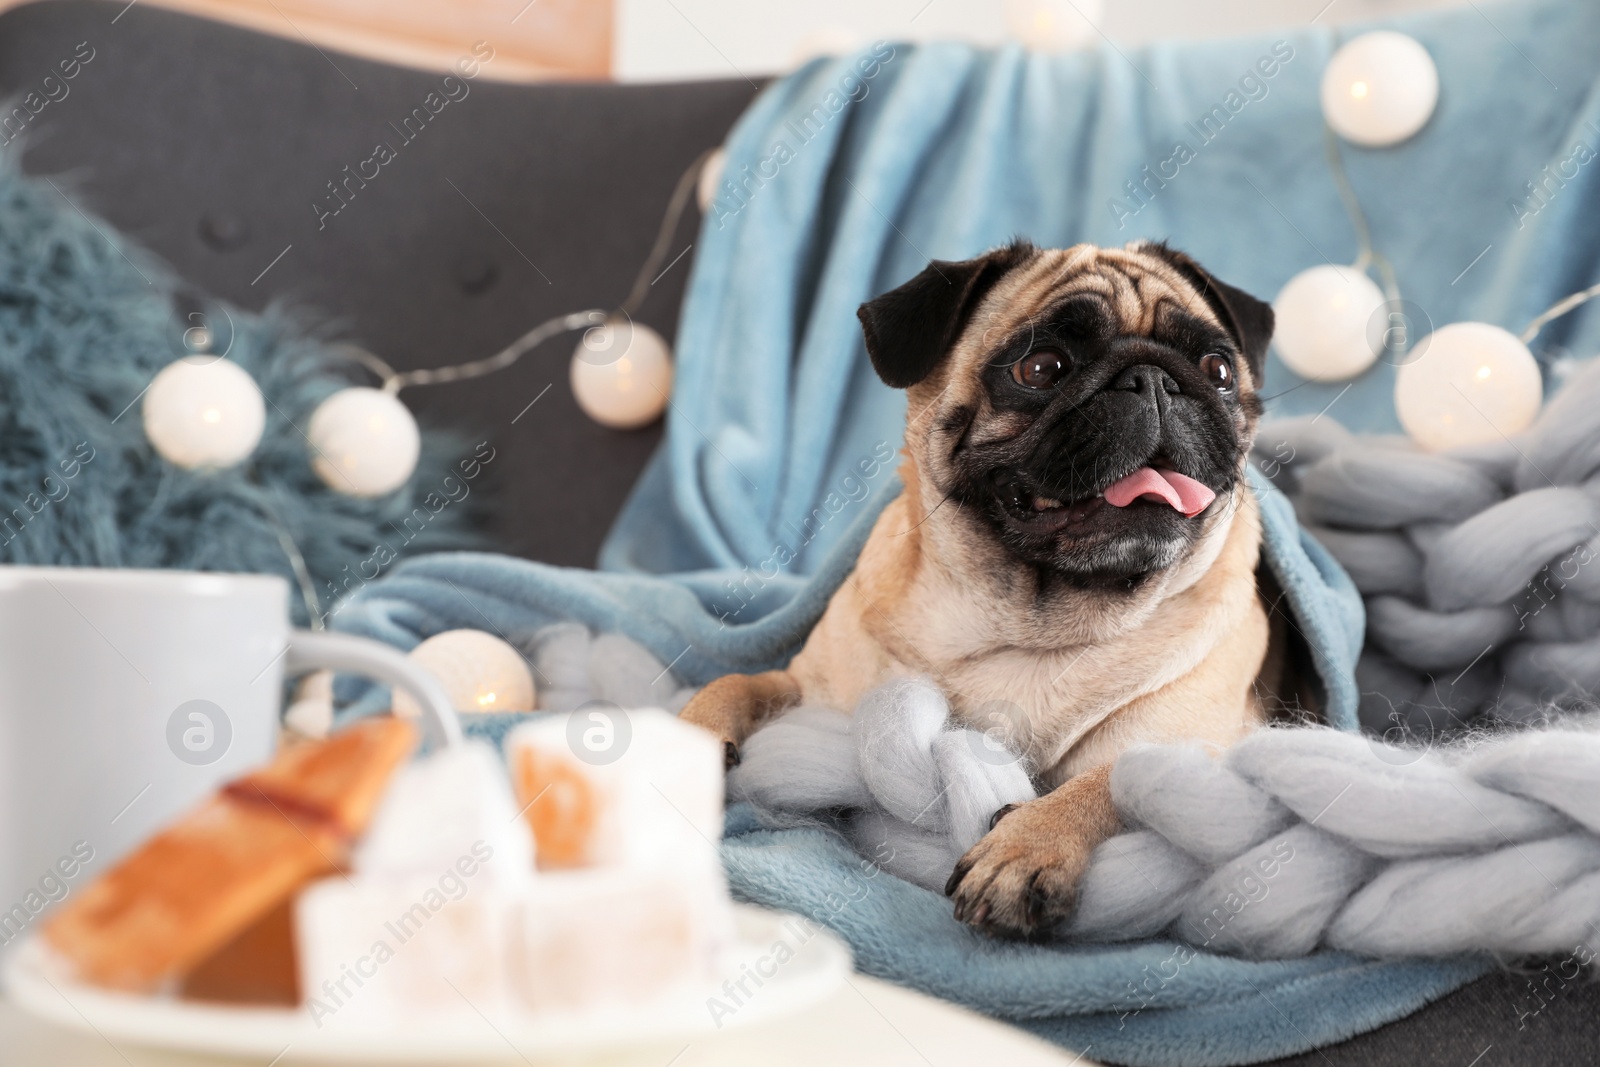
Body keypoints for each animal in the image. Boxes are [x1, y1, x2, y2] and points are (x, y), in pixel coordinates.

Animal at [678, 239, 1299, 934]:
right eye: (1041, 368)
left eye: (1219, 371)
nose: (1155, 380)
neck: (1030, 620)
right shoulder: (814, 688)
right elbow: (738, 680)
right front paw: (687, 741)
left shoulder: (1203, 750)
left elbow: (1112, 781)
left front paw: (1026, 846)